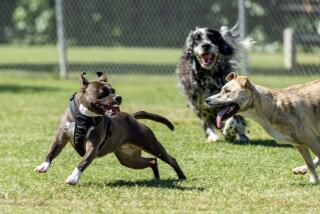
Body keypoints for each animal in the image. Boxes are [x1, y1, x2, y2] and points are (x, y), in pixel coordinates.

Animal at [34, 72, 188, 185]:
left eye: (113, 90)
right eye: (102, 92)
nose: (118, 97)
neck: (84, 116)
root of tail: (132, 117)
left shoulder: (92, 147)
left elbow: (82, 162)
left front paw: (73, 178)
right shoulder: (61, 138)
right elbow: (51, 152)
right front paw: (43, 166)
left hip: (152, 145)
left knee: (171, 159)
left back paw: (181, 177)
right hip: (129, 159)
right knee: (152, 161)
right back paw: (156, 178)